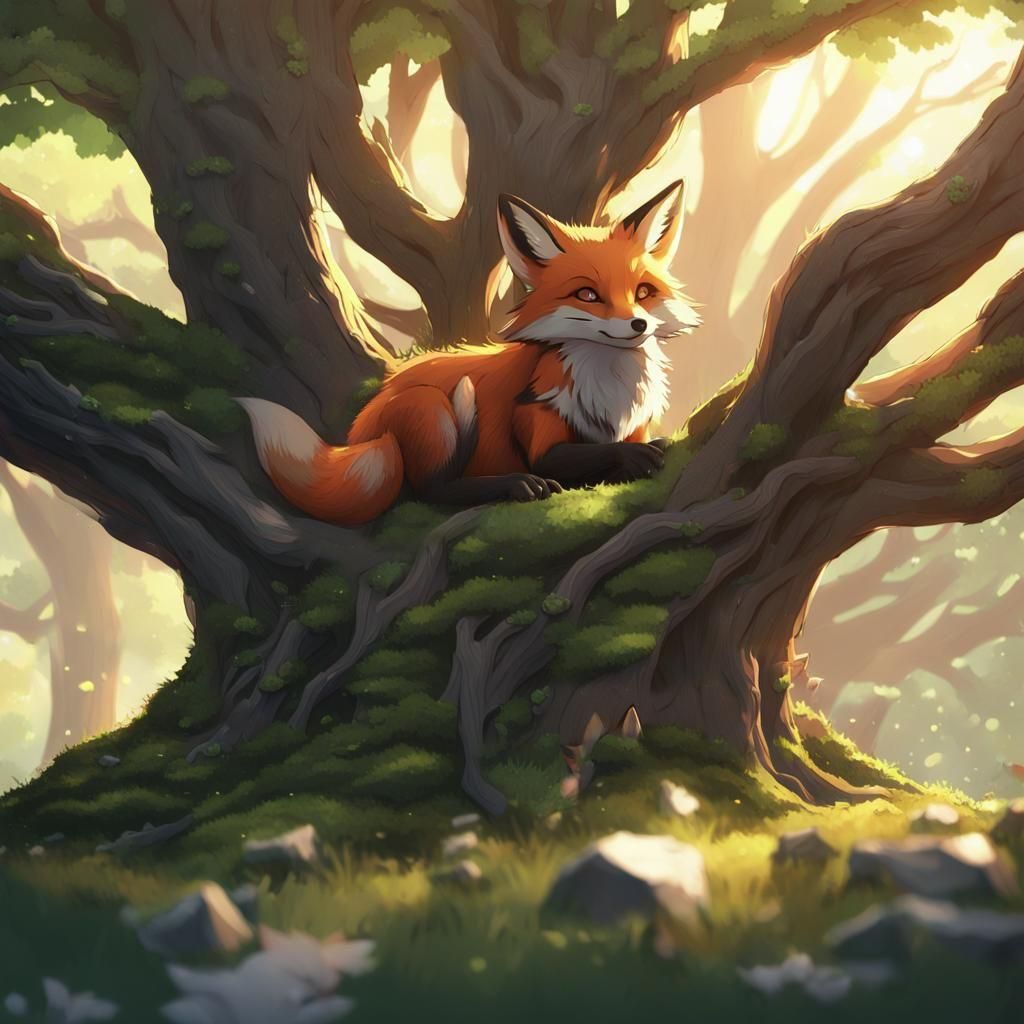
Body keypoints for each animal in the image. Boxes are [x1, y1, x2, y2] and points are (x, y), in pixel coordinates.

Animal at [239, 180, 700, 526]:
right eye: (587, 295)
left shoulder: (633, 423)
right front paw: (631, 456)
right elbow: (588, 454)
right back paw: (512, 484)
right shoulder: (539, 432)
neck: (611, 387)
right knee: (433, 489)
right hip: (431, 409)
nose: (638, 325)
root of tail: (358, 434)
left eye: (643, 292)